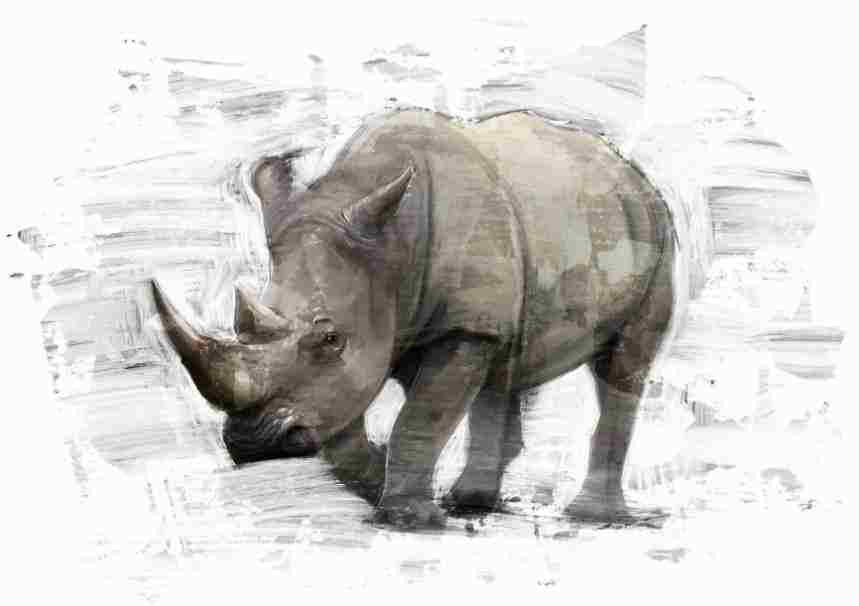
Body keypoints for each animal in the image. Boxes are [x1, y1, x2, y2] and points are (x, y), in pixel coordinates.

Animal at [152, 108, 675, 527]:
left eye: (331, 338)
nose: (252, 442)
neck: (391, 248)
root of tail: (629, 170)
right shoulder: (389, 324)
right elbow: (355, 421)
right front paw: (384, 484)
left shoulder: (458, 324)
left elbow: (420, 417)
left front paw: (408, 518)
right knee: (507, 362)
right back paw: (471, 503)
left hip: (656, 229)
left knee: (624, 364)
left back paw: (593, 516)